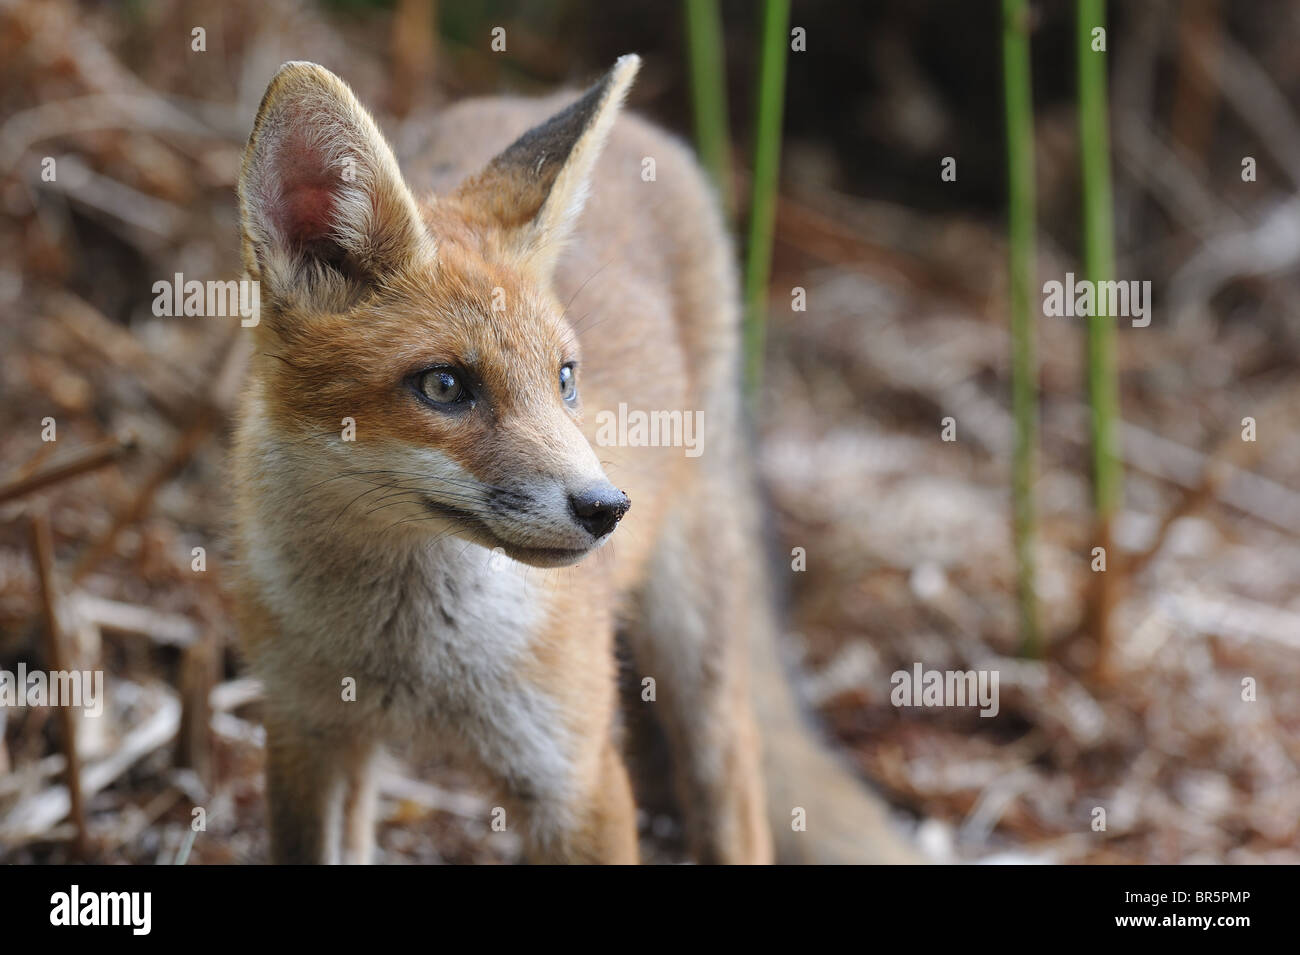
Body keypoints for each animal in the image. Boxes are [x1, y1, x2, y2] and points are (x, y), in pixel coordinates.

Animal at [231, 54, 919, 864]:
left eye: (564, 378)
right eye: (444, 386)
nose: (606, 508)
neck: (404, 657)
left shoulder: (578, 777)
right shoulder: (303, 735)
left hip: (699, 644)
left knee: (736, 785)